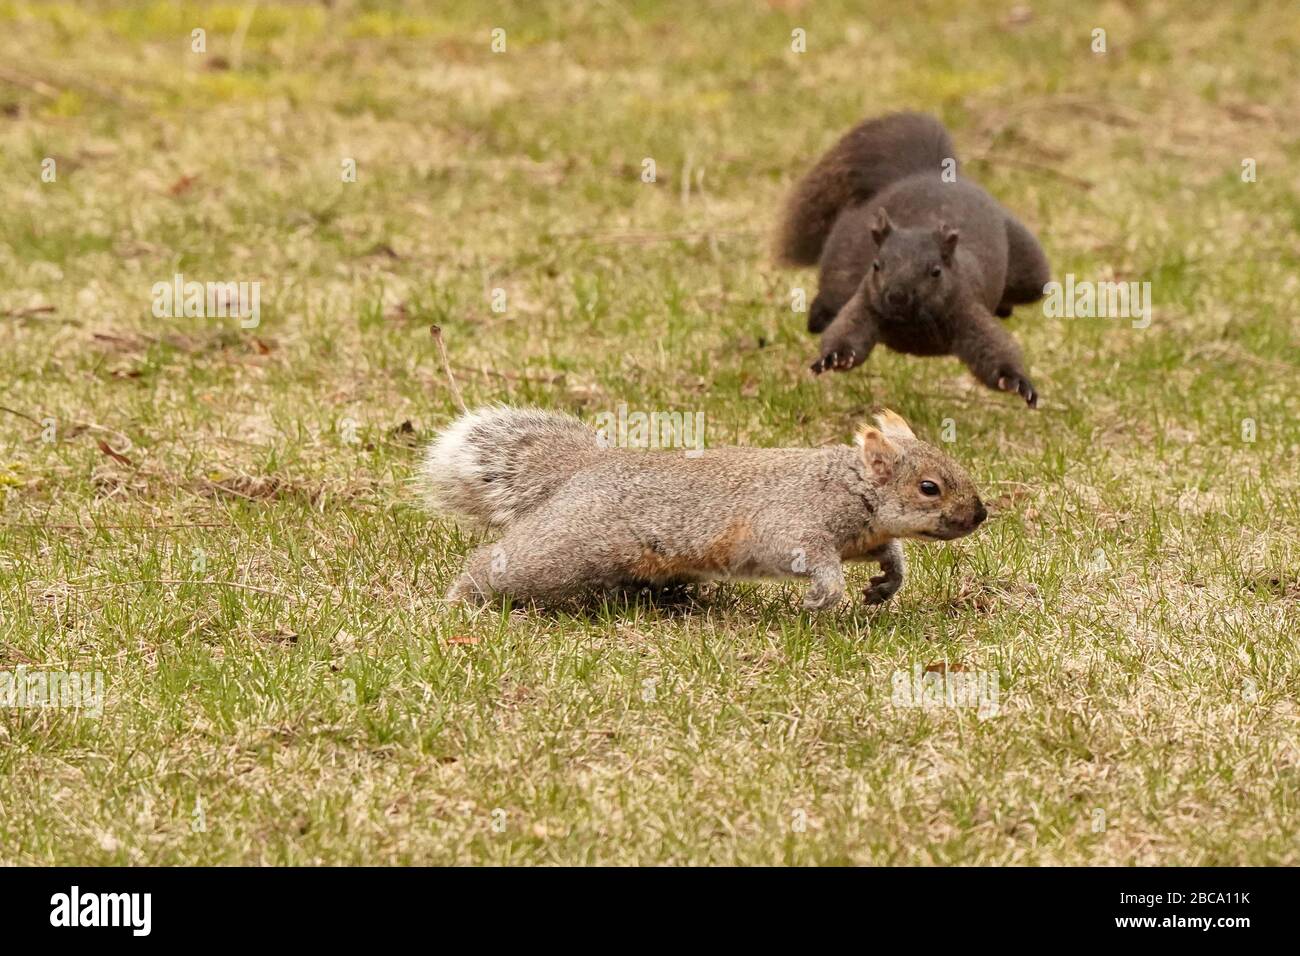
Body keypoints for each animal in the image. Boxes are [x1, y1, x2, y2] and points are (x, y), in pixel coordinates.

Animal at [421, 405, 987, 609]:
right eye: (930, 488)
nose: (980, 514)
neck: (850, 486)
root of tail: (583, 470)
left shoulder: (865, 537)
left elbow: (889, 554)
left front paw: (886, 584)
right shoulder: (791, 524)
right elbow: (811, 559)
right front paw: (824, 595)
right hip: (566, 551)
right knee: (496, 566)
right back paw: (459, 601)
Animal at [776, 112, 1051, 407]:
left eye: (935, 271)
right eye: (876, 265)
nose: (897, 296)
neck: (912, 325)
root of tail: (926, 173)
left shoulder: (968, 308)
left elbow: (992, 352)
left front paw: (1016, 382)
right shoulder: (864, 303)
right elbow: (848, 335)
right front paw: (833, 357)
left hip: (1032, 273)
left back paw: (1005, 308)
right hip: (843, 259)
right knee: (832, 294)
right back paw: (818, 316)